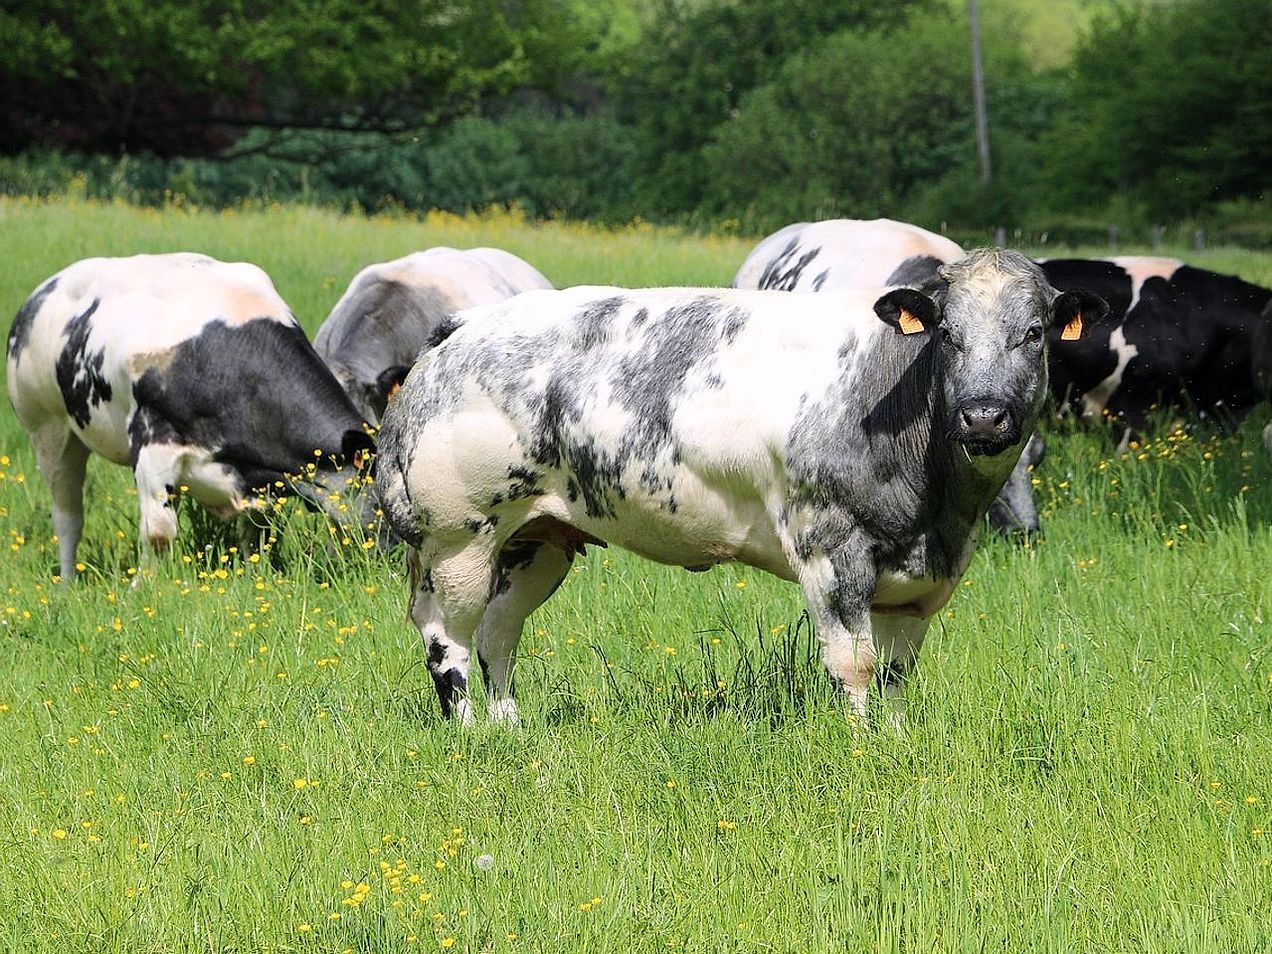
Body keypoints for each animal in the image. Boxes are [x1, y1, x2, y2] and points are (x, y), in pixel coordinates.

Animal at [6, 252, 376, 581]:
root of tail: (41, 292)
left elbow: (257, 532)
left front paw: (256, 578)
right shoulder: (153, 447)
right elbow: (158, 534)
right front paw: (142, 591)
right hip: (48, 430)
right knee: (68, 515)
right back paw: (67, 583)